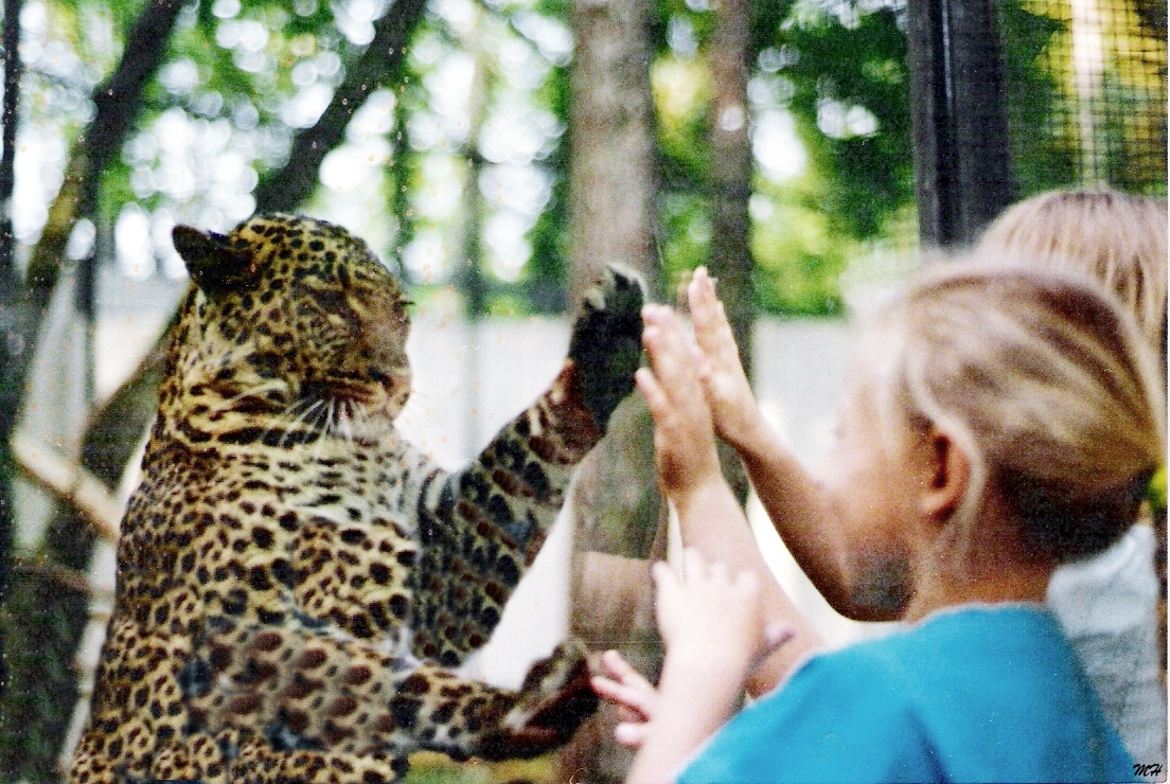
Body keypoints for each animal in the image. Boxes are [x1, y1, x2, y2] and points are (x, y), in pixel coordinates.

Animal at [68, 212, 645, 784]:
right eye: (330, 302)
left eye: (401, 311)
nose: (398, 381)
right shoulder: (236, 633)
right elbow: (372, 679)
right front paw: (519, 705)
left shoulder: (443, 554)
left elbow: (518, 465)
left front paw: (606, 347)